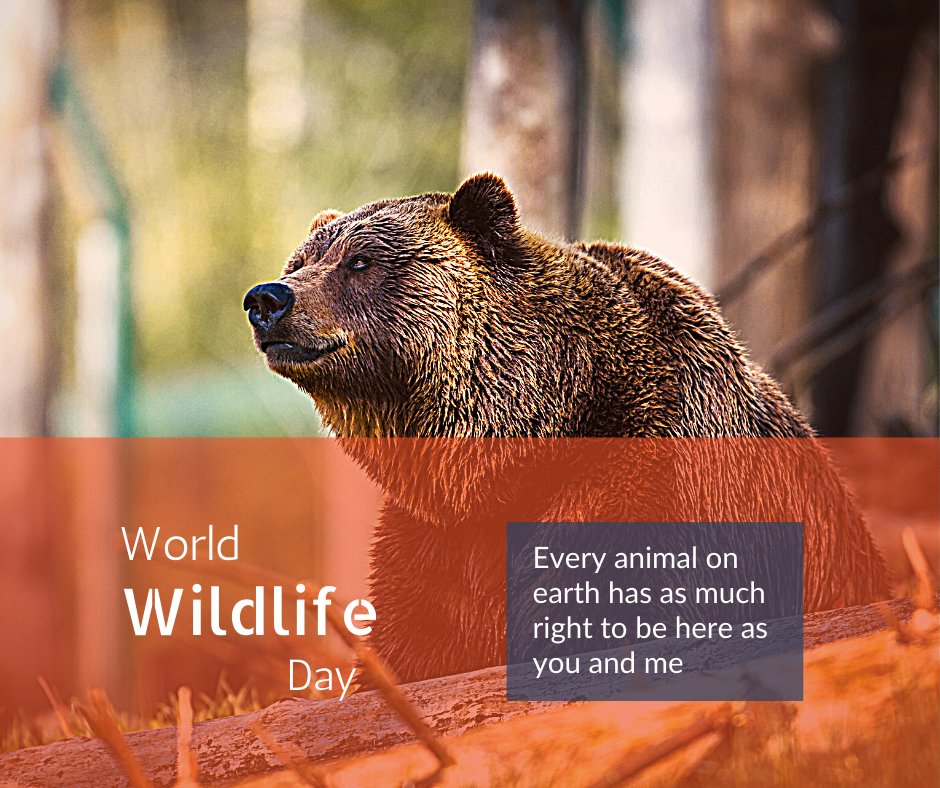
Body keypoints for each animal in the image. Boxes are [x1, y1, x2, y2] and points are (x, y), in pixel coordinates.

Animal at [244, 173, 891, 683]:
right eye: (300, 262)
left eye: (361, 261)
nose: (267, 298)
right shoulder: (439, 540)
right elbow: (417, 637)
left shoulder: (644, 492)